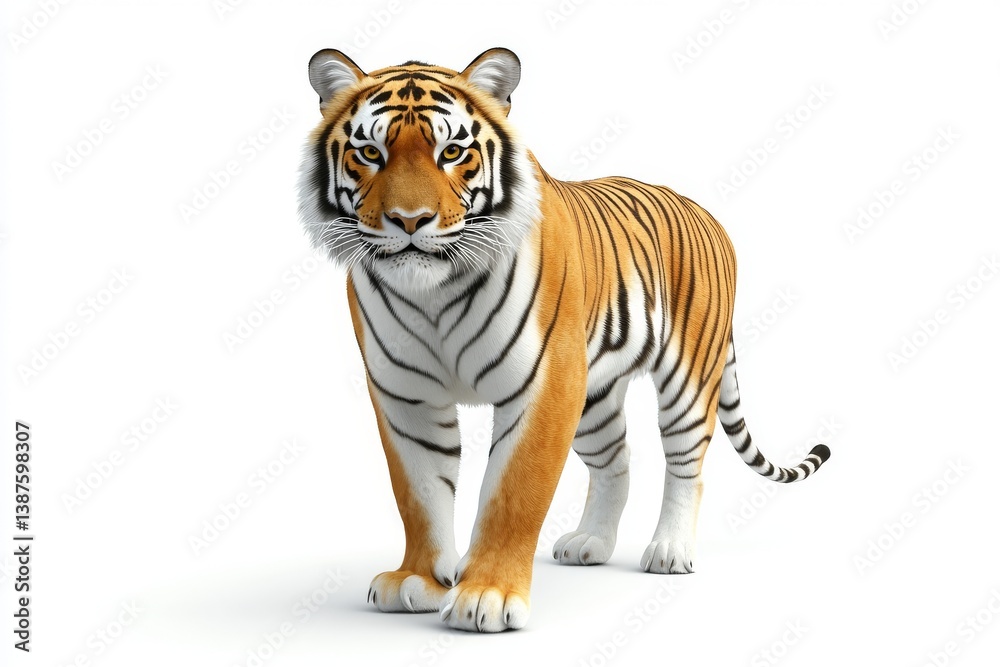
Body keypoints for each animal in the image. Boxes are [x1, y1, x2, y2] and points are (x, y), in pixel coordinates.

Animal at [297, 47, 831, 633]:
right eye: (369, 152)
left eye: (452, 151)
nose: (410, 221)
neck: (434, 292)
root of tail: (705, 213)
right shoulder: (405, 397)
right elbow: (418, 493)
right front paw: (417, 579)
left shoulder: (545, 384)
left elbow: (513, 491)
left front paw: (486, 595)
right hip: (594, 397)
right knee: (618, 460)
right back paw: (591, 542)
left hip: (689, 376)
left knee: (687, 462)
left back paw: (669, 550)